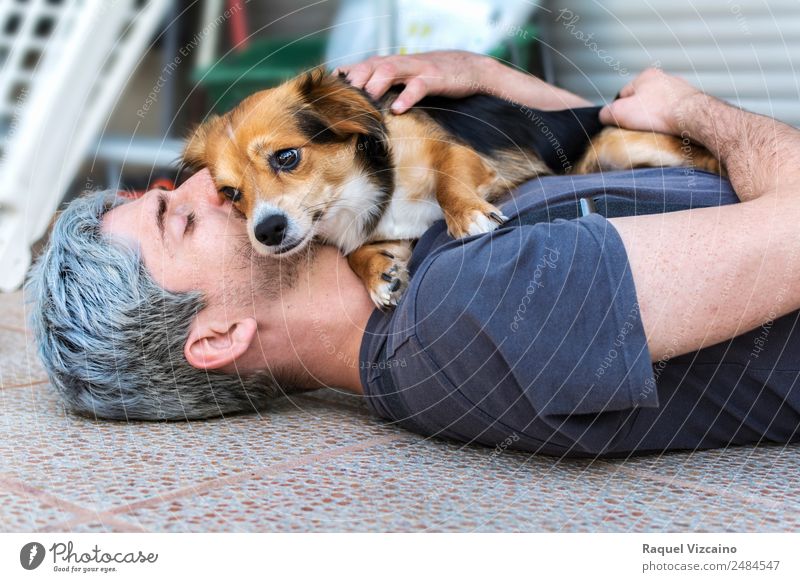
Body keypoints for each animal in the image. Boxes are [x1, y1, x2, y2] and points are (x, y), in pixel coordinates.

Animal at [184, 68, 720, 308]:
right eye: (231, 194)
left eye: (287, 157)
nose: (267, 232)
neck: (356, 191)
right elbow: (357, 252)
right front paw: (379, 273)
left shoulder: (459, 156)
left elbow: (448, 181)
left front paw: (467, 215)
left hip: (617, 143)